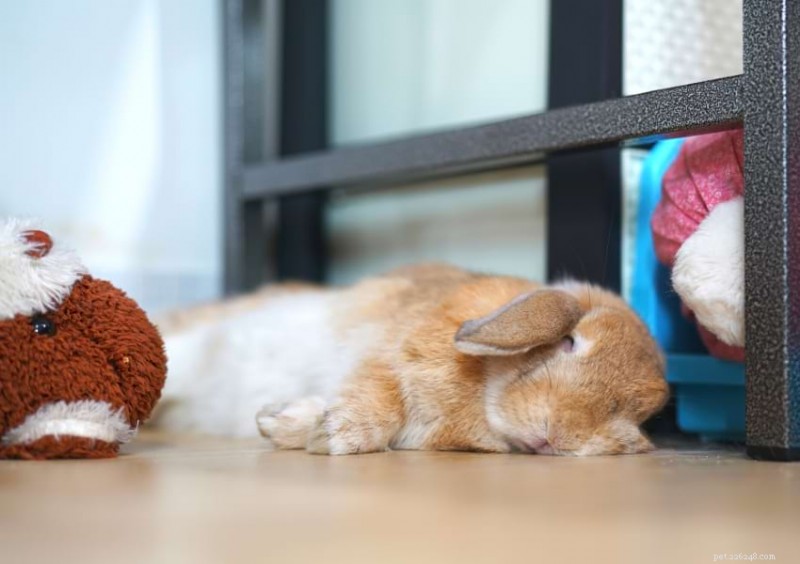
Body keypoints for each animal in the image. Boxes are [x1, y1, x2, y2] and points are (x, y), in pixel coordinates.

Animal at [154, 263, 668, 456]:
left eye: (636, 414)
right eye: (568, 342)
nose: (554, 437)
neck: (483, 390)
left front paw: (282, 421)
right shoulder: (385, 354)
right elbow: (379, 401)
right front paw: (332, 434)